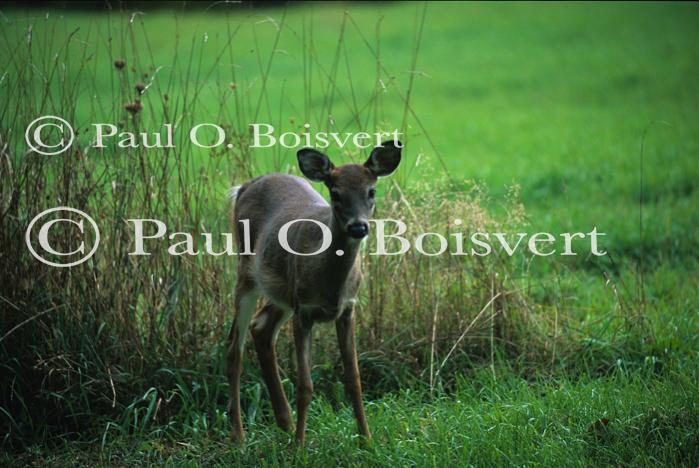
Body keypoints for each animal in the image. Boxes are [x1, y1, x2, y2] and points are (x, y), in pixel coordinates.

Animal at [226, 140, 402, 445]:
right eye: (336, 193)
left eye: (371, 191)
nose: (359, 226)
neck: (331, 285)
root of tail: (245, 186)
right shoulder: (304, 312)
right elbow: (305, 385)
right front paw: (300, 446)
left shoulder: (347, 309)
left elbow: (354, 378)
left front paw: (366, 439)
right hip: (246, 273)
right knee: (234, 347)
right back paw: (239, 434)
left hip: (282, 292)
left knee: (261, 327)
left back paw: (284, 422)